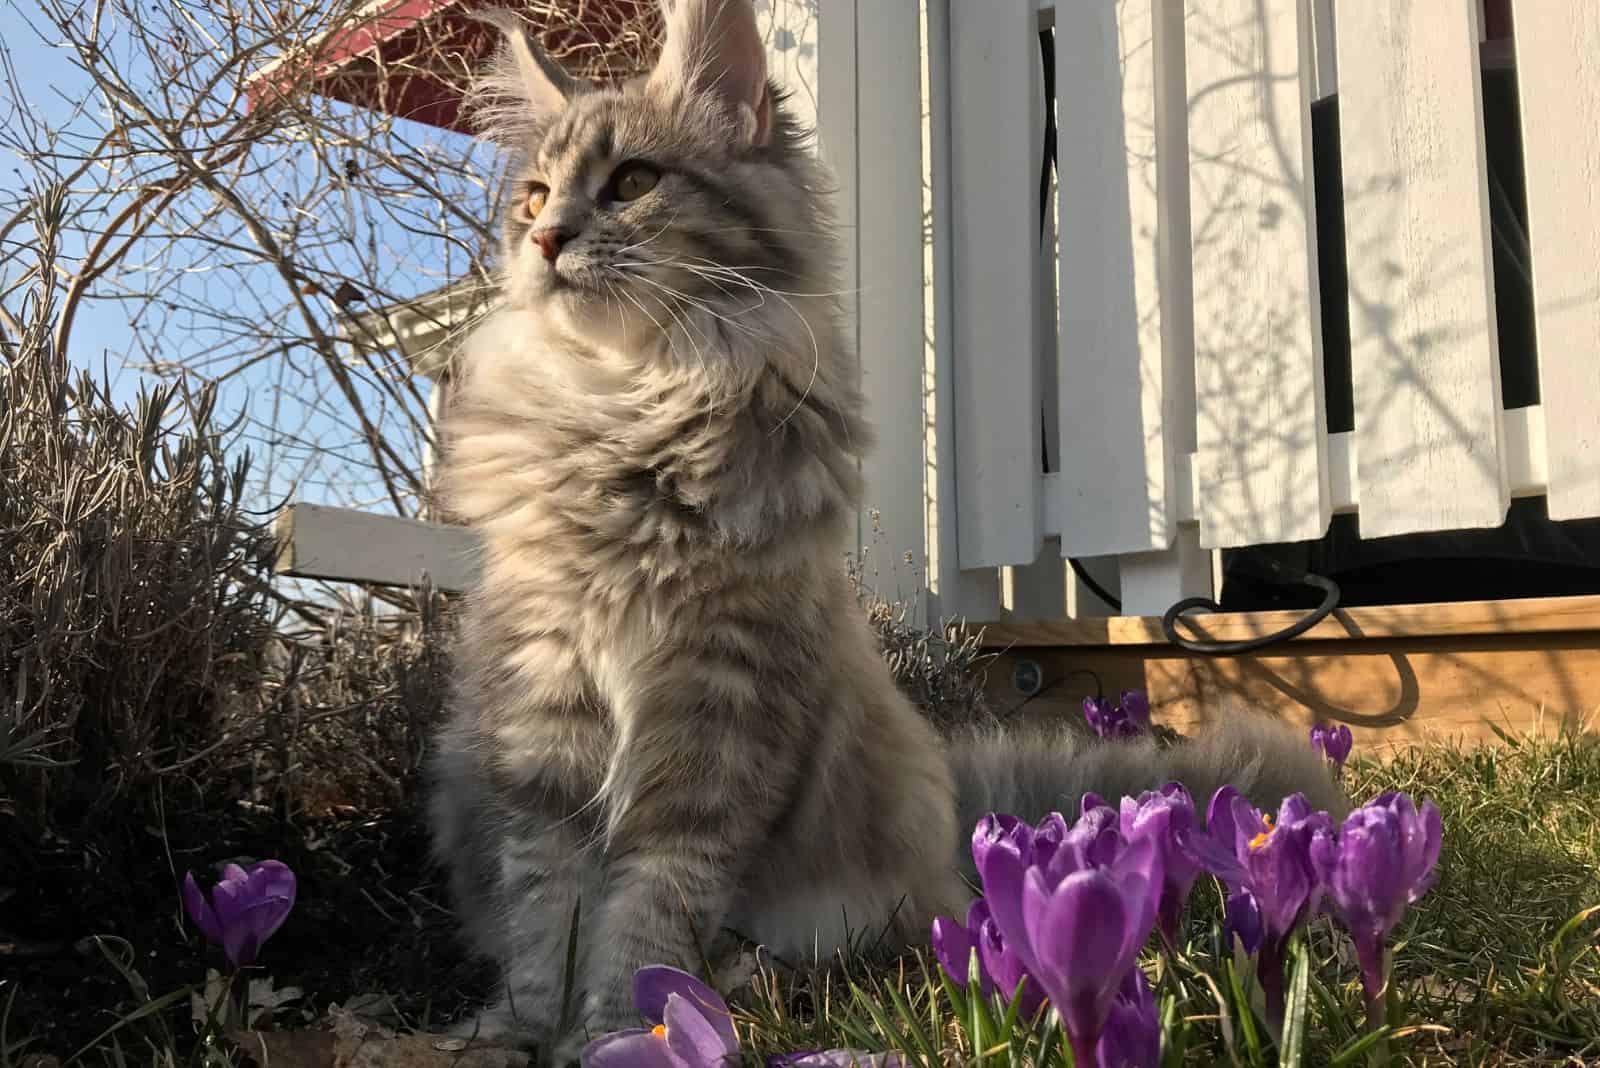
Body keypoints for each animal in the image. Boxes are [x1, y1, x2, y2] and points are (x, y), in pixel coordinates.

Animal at [428, 0, 1350, 1048]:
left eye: (632, 183)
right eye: (534, 197)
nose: (545, 240)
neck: (633, 411)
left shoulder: (716, 722)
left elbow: (647, 906)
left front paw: (621, 1028)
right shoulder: (540, 721)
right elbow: (546, 907)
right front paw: (519, 1030)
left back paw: (744, 977)